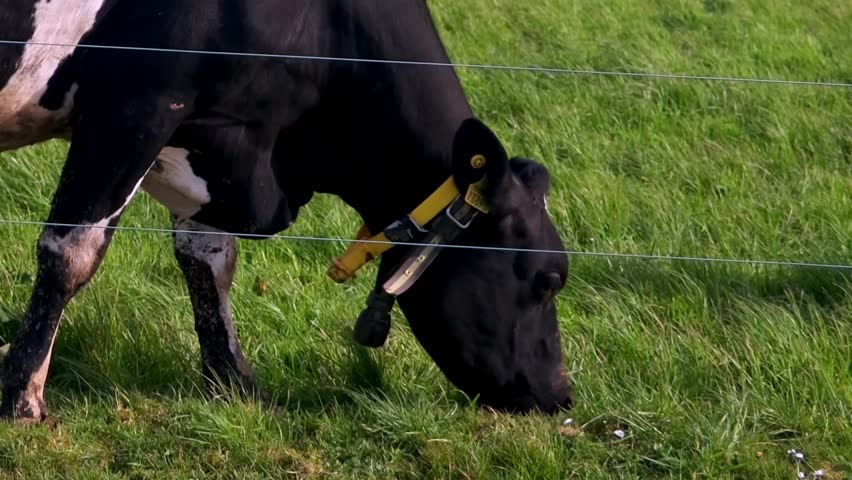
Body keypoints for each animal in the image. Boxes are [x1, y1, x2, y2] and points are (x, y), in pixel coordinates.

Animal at [0, 0, 573, 424]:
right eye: (546, 281)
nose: (562, 394)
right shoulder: (135, 107)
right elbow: (71, 253)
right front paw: (22, 399)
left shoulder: (216, 135)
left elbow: (207, 260)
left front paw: (233, 382)